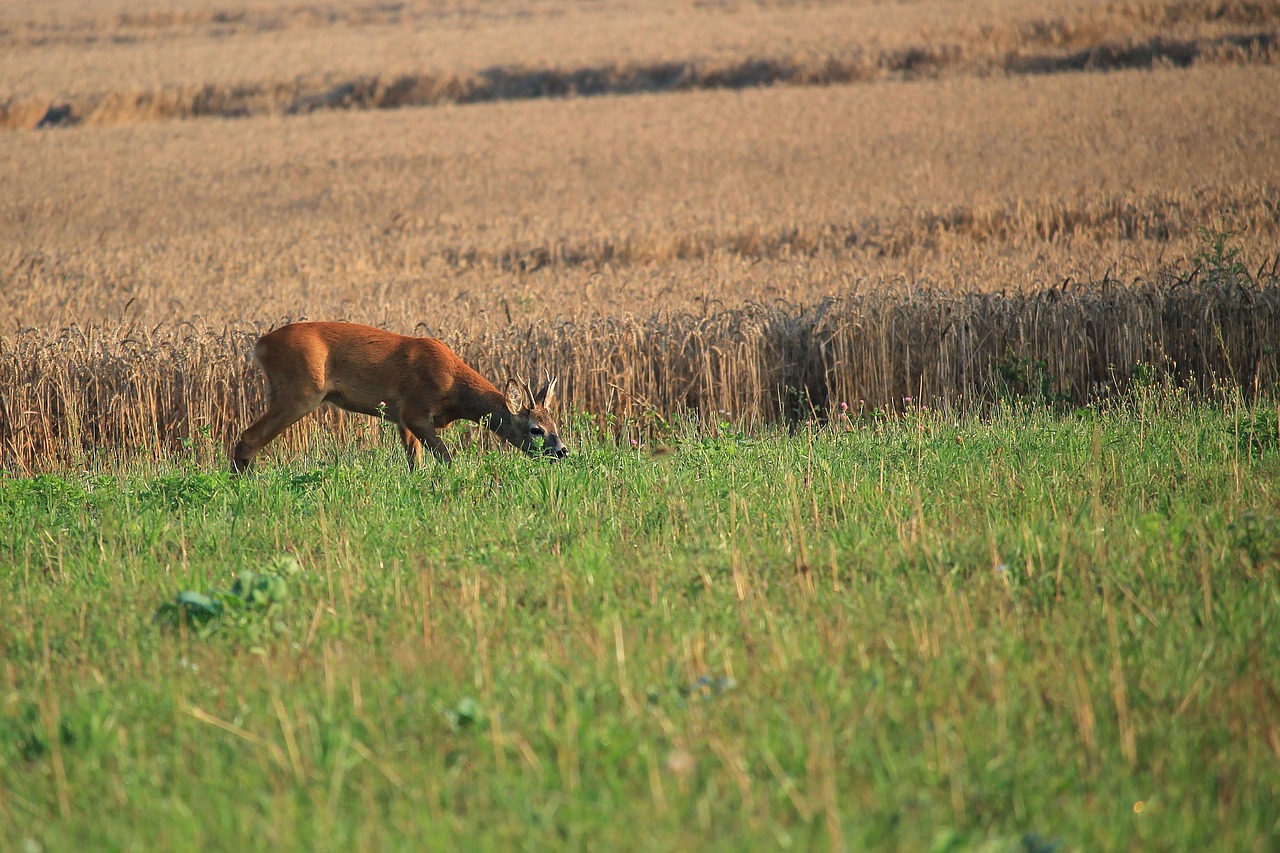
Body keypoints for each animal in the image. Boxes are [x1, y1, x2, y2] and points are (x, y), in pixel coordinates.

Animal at [231, 320, 570, 471]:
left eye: (557, 425)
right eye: (535, 429)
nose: (563, 451)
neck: (455, 390)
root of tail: (260, 346)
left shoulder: (401, 418)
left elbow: (414, 462)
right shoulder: (416, 410)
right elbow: (445, 457)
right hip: (301, 390)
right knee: (248, 437)